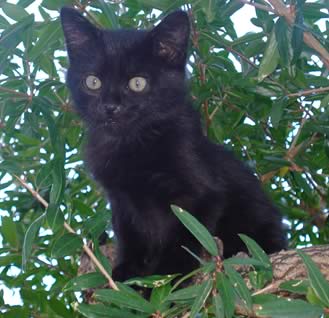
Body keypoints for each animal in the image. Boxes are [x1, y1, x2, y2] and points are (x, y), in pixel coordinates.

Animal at [60, 8, 284, 280]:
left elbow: (182, 239)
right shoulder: (122, 201)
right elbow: (131, 239)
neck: (131, 142)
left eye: (138, 83)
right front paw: (128, 276)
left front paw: (168, 278)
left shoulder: (200, 195)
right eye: (93, 82)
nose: (110, 106)